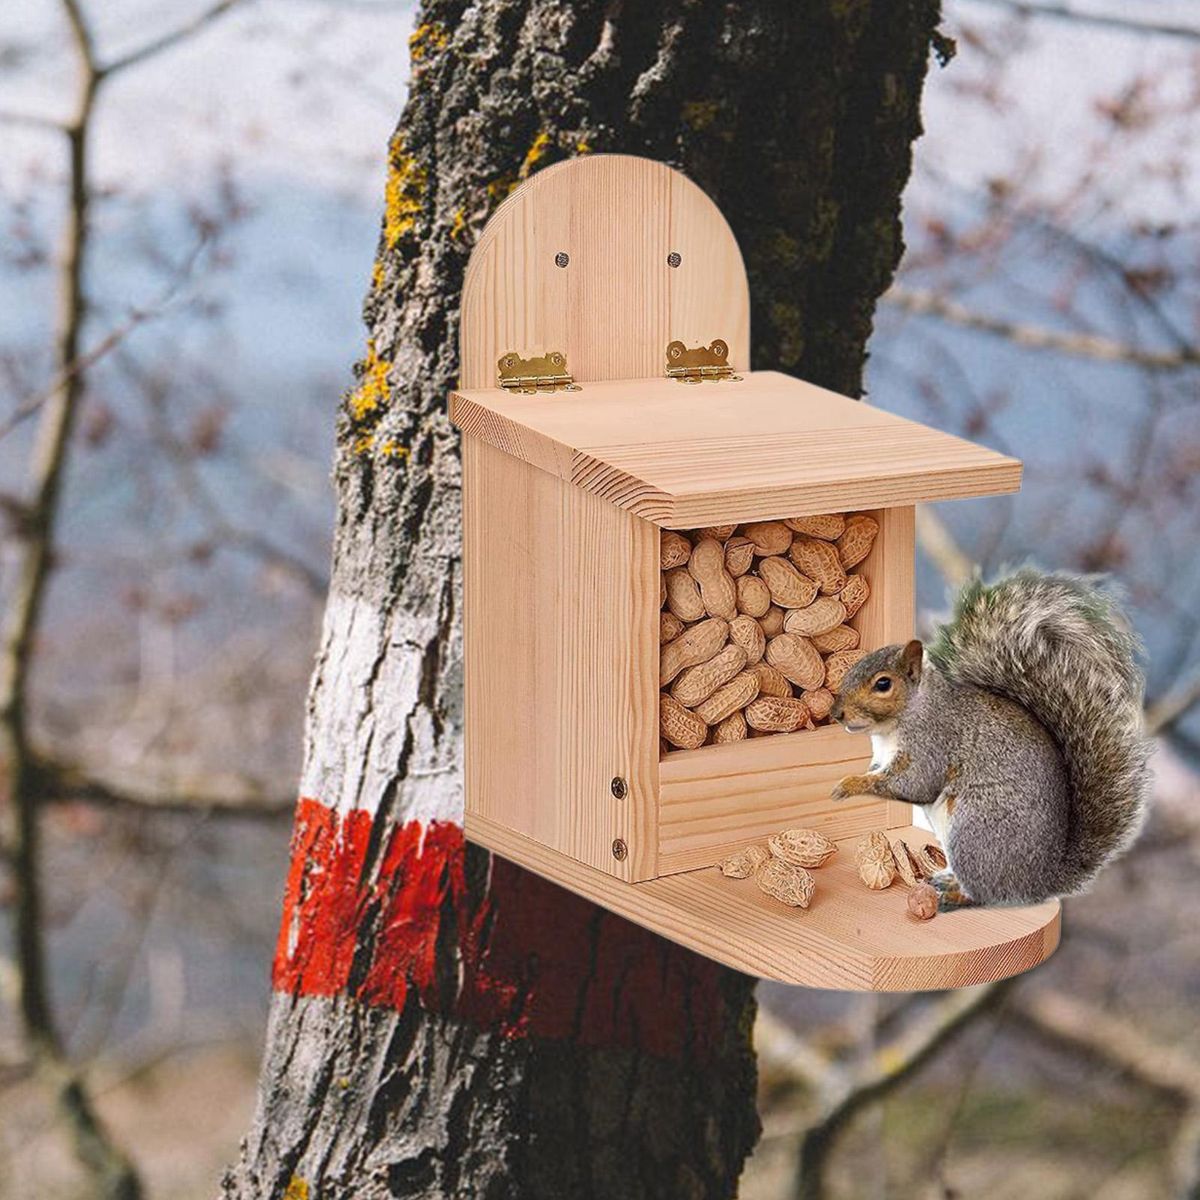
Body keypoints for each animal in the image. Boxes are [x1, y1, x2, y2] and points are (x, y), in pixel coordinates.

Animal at [828, 569, 1151, 910]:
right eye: (851, 668)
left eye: (883, 684)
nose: (836, 713)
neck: (893, 726)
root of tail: (1039, 883)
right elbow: (881, 772)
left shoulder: (932, 742)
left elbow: (914, 784)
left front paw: (848, 784)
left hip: (974, 829)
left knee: (985, 894)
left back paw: (953, 894)